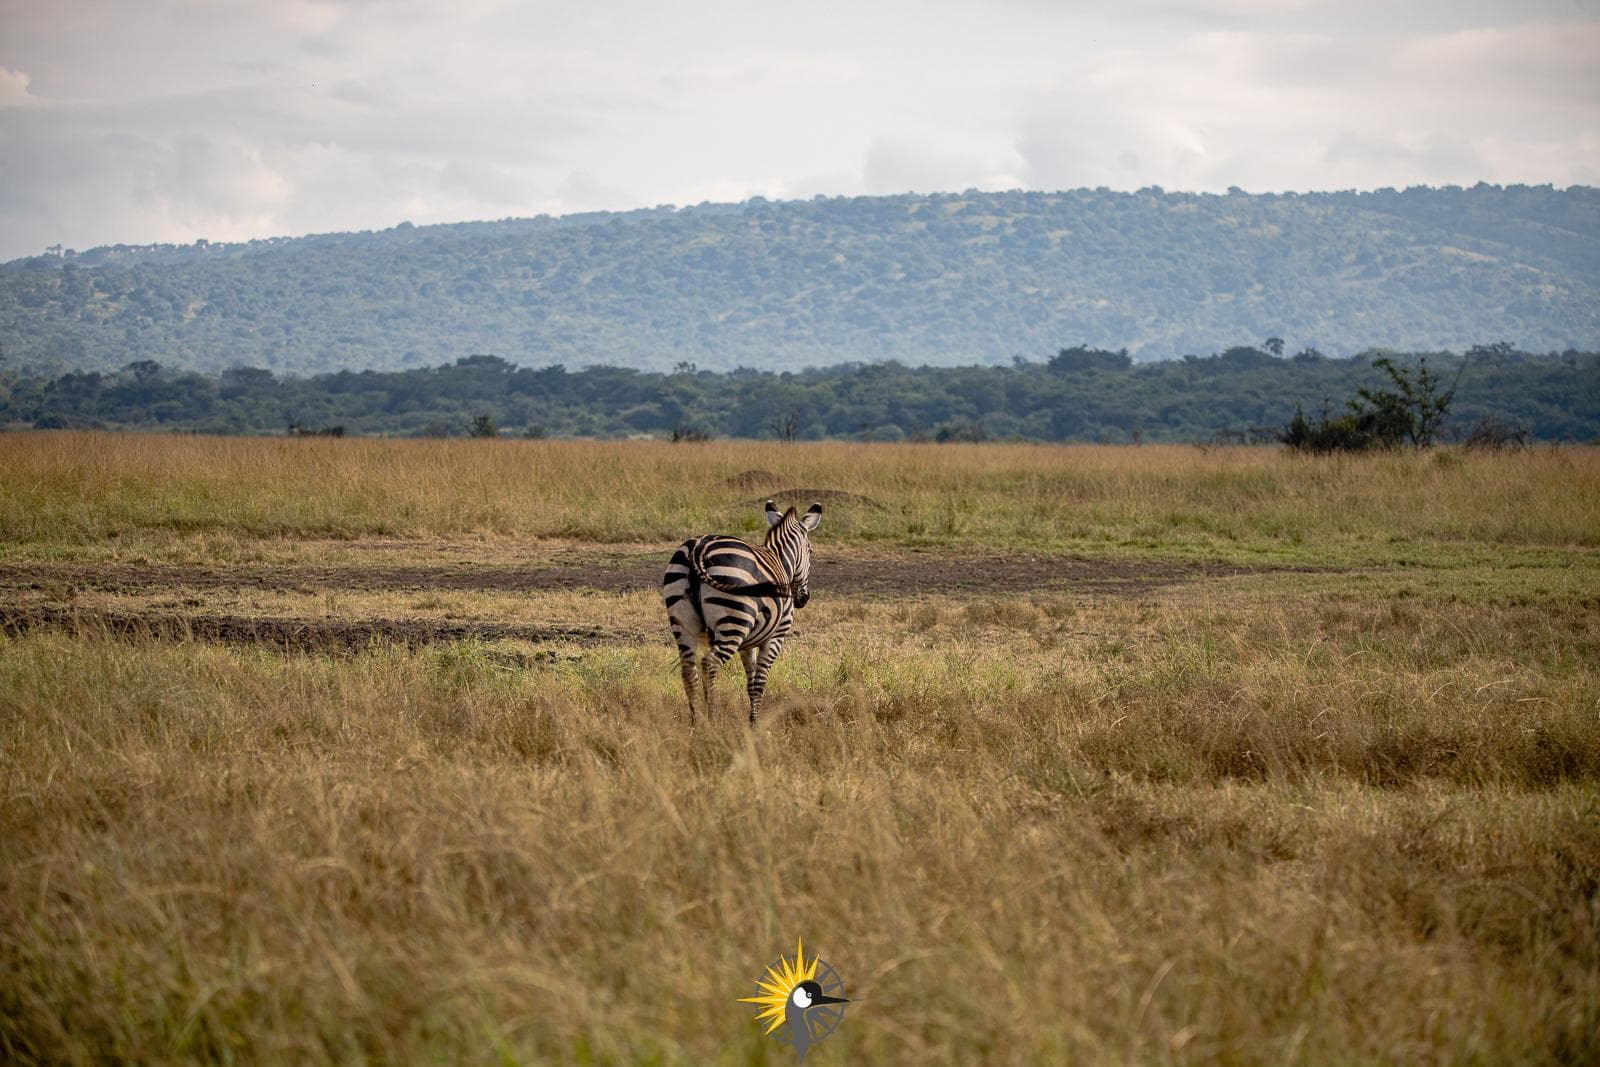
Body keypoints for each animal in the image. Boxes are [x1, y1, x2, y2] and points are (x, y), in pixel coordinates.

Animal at [662, 499, 823, 724]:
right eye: (811, 551)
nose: (803, 599)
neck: (781, 561)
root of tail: (699, 548)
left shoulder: (749, 644)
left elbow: (751, 683)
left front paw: (751, 720)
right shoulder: (776, 636)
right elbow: (760, 682)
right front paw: (755, 724)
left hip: (683, 622)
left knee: (688, 670)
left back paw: (696, 723)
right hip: (734, 622)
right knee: (709, 664)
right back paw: (712, 719)